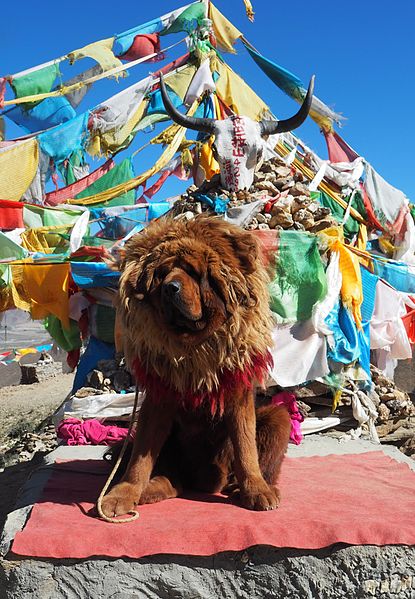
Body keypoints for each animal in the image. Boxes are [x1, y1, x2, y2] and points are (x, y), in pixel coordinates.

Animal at [101, 217, 290, 520]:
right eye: (161, 274)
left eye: (192, 271)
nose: (170, 287)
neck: (193, 346)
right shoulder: (158, 400)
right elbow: (140, 459)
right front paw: (123, 493)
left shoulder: (237, 394)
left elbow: (245, 448)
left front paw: (255, 489)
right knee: (169, 476)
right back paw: (152, 488)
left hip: (277, 417)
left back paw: (245, 487)